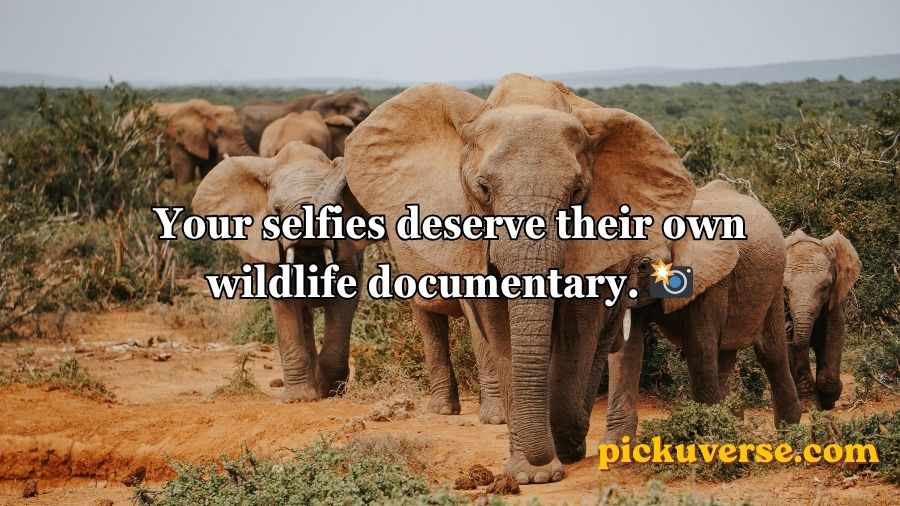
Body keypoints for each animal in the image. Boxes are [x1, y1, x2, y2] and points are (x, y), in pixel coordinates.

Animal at [192, 142, 364, 402]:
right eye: (276, 209)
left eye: (336, 210)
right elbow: (284, 302)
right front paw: (300, 399)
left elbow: (343, 299)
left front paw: (329, 392)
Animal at [342, 73, 696, 483]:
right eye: (483, 188)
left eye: (577, 192)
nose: (548, 462)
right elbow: (498, 328)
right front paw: (529, 473)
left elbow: (578, 326)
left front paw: (557, 455)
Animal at [604, 181, 802, 443]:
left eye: (644, 265)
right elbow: (626, 351)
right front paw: (614, 446)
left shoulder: (712, 278)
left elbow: (699, 346)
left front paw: (705, 439)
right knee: (725, 356)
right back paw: (733, 427)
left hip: (774, 284)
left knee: (771, 353)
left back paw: (789, 433)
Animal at [784, 230, 861, 410]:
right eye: (784, 290)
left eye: (825, 287)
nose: (789, 326)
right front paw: (809, 405)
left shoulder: (835, 297)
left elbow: (834, 335)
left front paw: (830, 399)